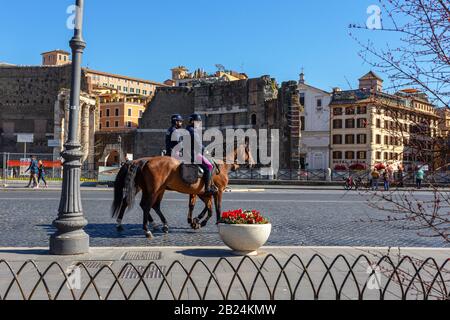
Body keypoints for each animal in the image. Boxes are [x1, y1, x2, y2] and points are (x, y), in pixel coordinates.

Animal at [111, 145, 255, 238]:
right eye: (248, 151)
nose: (252, 164)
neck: (222, 165)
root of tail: (144, 161)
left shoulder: (202, 193)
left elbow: (204, 207)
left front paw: (196, 221)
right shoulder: (217, 192)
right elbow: (216, 208)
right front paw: (211, 222)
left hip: (155, 190)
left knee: (150, 205)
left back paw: (160, 225)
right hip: (151, 190)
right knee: (145, 205)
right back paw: (147, 230)